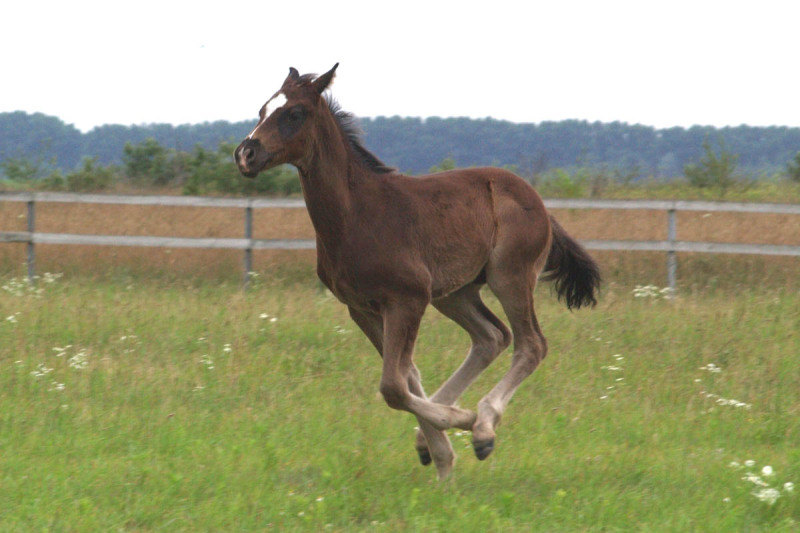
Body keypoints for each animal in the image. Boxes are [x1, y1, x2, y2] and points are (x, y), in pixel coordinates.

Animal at [234, 64, 596, 480]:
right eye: (263, 109)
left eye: (295, 113)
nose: (245, 154)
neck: (357, 213)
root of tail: (538, 201)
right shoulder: (362, 308)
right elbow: (408, 377)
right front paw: (441, 455)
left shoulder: (407, 299)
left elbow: (393, 385)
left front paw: (462, 421)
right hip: (455, 292)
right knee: (491, 337)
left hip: (511, 276)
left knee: (531, 343)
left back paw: (483, 427)